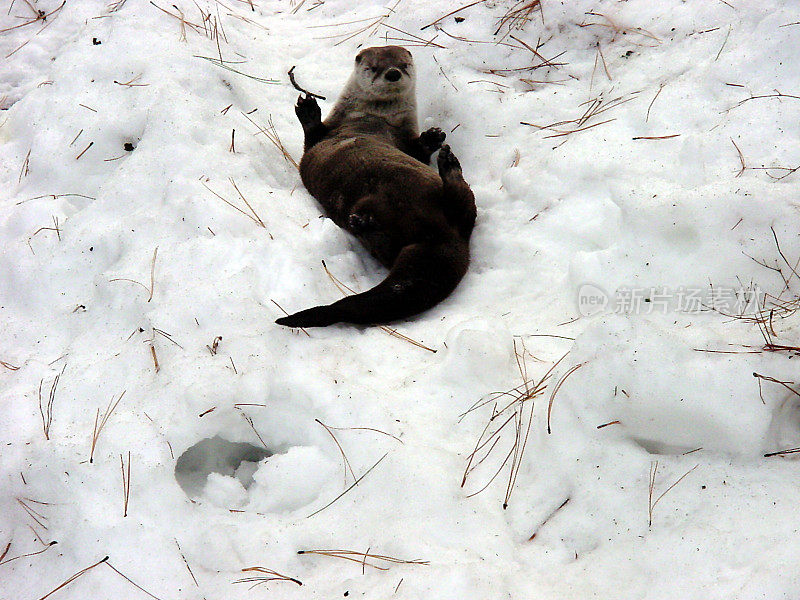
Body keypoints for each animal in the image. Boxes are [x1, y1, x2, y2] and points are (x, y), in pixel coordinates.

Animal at [276, 46, 476, 328]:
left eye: (403, 65)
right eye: (374, 67)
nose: (392, 73)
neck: (372, 119)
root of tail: (442, 240)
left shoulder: (406, 141)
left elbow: (418, 151)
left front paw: (433, 137)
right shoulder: (323, 139)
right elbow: (312, 136)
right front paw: (308, 110)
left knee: (464, 206)